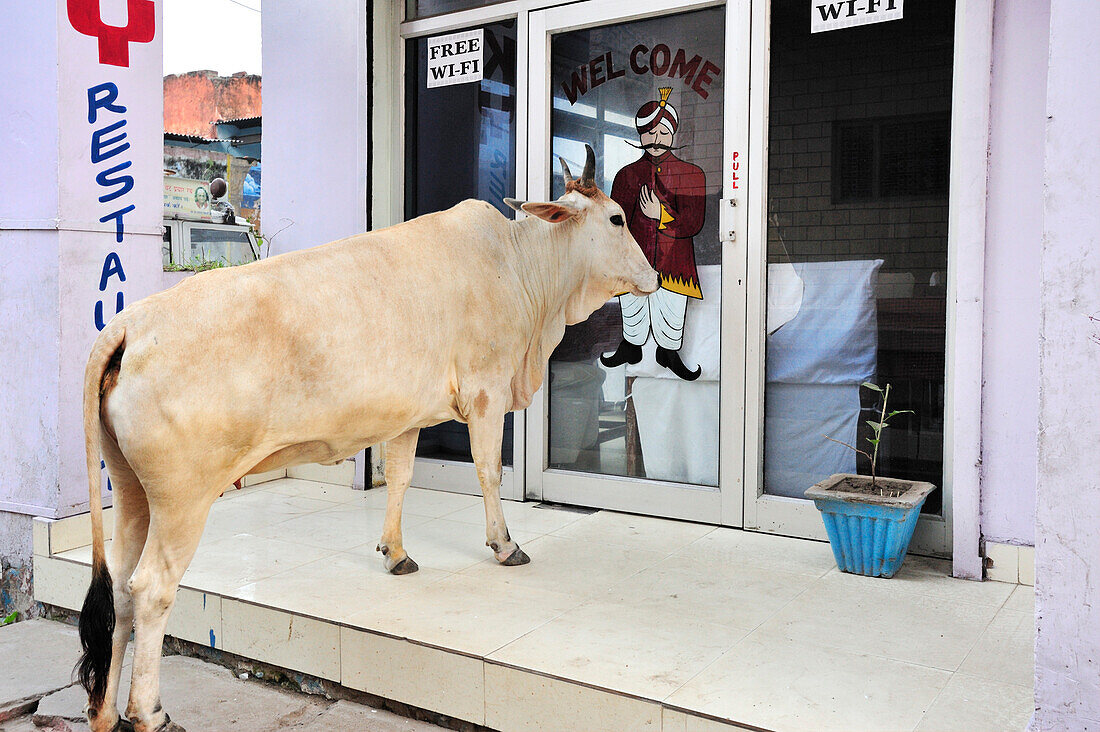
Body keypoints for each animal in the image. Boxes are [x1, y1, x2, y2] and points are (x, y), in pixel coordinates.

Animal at [79, 147, 660, 730]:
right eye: (618, 219)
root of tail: (131, 323)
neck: (520, 267)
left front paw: (395, 552)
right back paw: (148, 712)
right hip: (183, 500)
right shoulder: (487, 393)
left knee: (121, 590)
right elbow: (489, 472)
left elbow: (399, 479)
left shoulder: (407, 418)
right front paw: (505, 544)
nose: (655, 276)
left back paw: (105, 711)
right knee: (151, 589)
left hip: (131, 493)